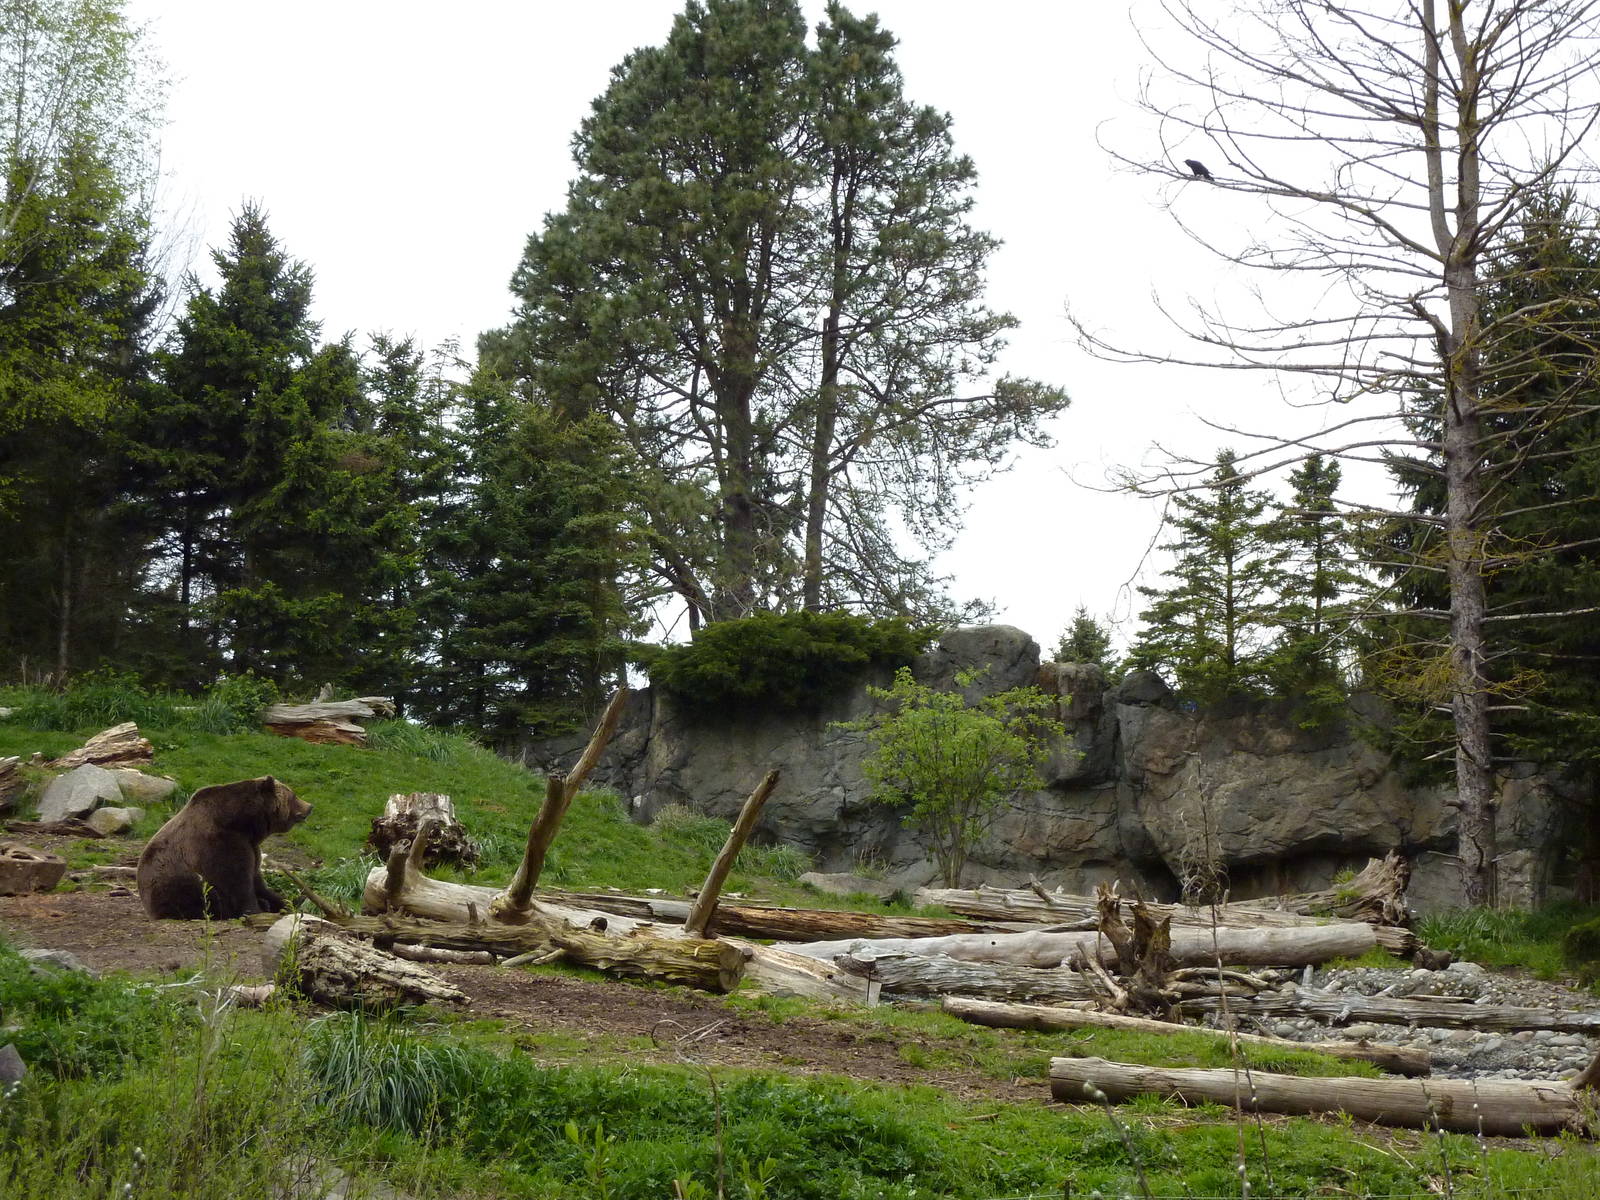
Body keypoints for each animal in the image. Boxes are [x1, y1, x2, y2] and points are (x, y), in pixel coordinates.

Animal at [136, 775, 312, 920]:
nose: (310, 806)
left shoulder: (250, 846)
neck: (244, 824)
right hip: (173, 884)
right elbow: (237, 883)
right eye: (294, 795)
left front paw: (292, 901)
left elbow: (257, 880)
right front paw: (255, 910)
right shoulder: (220, 843)